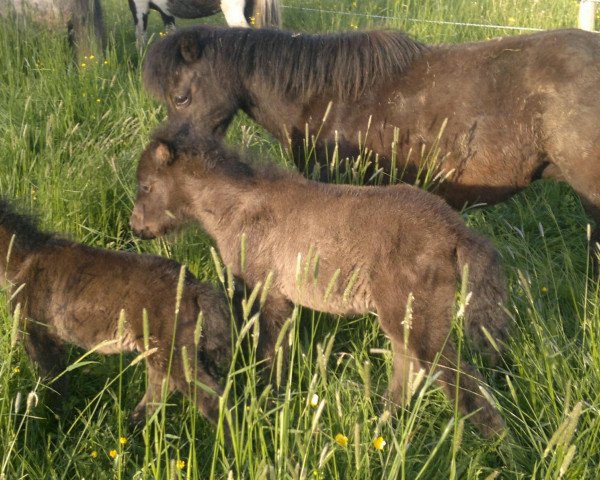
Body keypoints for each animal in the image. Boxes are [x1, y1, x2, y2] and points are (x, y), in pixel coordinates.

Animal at [0, 197, 239, 430]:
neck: (22, 257)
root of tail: (193, 286)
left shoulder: (38, 335)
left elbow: (52, 383)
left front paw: (49, 424)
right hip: (162, 354)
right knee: (158, 391)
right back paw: (129, 428)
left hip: (174, 354)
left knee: (212, 399)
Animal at [129, 124, 508, 438]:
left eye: (146, 186)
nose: (136, 227)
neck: (238, 206)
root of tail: (454, 229)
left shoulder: (266, 292)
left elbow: (271, 351)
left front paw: (271, 401)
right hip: (404, 316)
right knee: (408, 366)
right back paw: (382, 422)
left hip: (417, 318)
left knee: (458, 377)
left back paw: (495, 444)